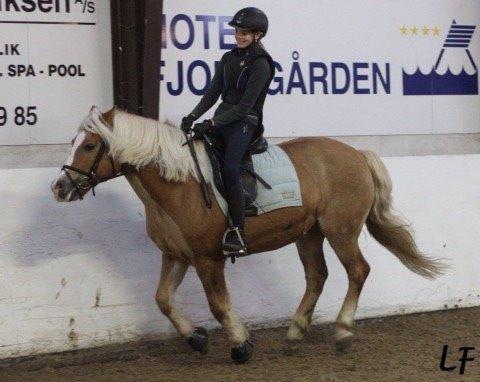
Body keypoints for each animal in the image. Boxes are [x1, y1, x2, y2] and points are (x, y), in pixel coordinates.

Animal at [50, 106, 444, 364]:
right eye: (72, 141)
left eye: (89, 146)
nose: (59, 188)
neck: (178, 185)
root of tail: (358, 155)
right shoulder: (176, 254)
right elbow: (162, 299)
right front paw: (196, 338)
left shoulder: (208, 258)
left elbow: (219, 305)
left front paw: (240, 345)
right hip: (309, 234)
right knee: (317, 276)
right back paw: (295, 333)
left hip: (340, 231)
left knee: (358, 271)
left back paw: (344, 330)